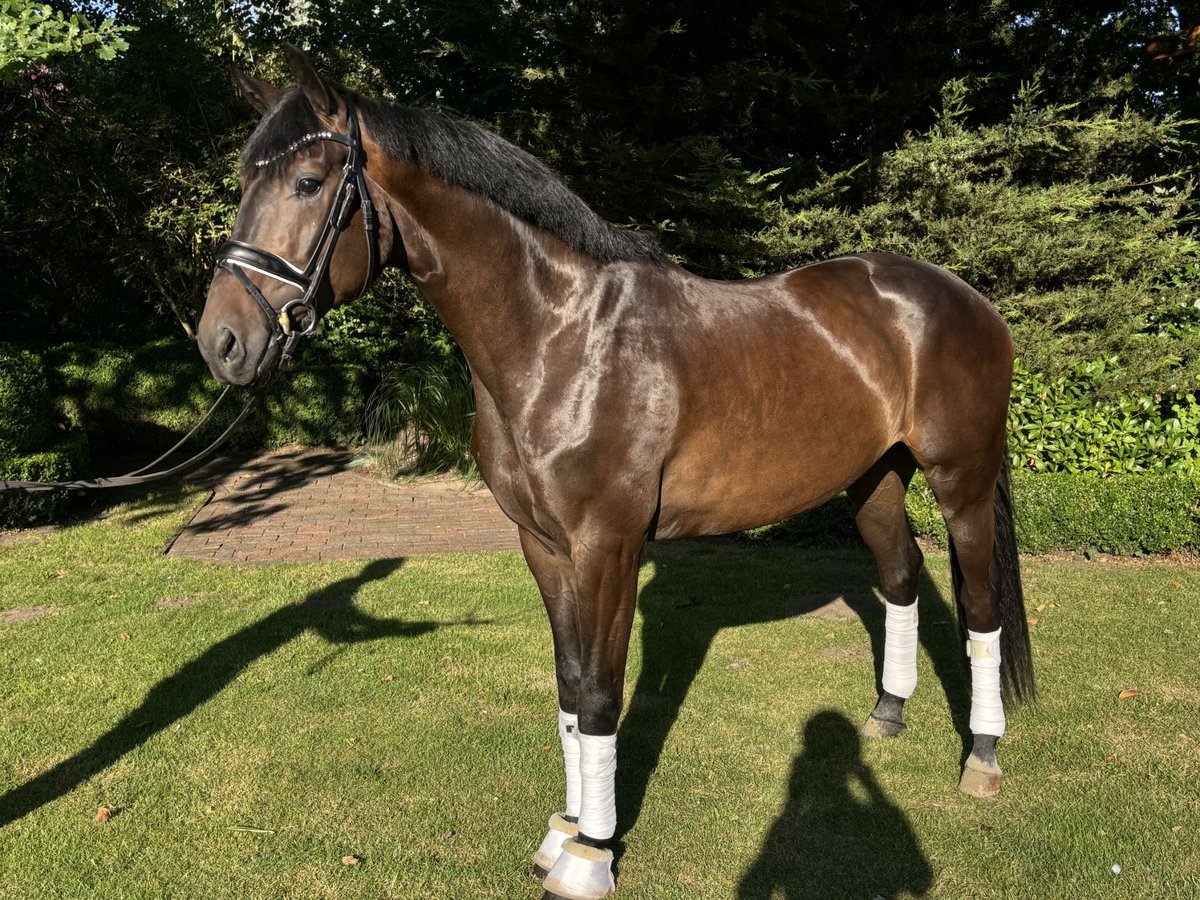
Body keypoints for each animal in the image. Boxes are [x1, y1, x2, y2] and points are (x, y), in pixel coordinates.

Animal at [194, 47, 1032, 900]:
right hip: (874, 481)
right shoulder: (545, 546)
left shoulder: (608, 547)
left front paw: (591, 855)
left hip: (961, 482)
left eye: (307, 182)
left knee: (981, 607)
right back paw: (889, 713)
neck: (563, 337)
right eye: (244, 182)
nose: (222, 342)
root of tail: (966, 299)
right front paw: (562, 831)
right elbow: (569, 687)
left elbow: (600, 694)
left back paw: (982, 757)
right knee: (900, 576)